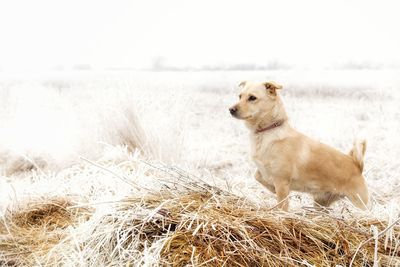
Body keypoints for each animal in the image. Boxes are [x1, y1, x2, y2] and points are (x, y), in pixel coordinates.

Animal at [228, 81, 368, 211]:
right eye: (239, 96)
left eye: (252, 98)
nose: (230, 109)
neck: (267, 132)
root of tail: (356, 164)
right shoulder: (264, 172)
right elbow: (257, 176)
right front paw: (271, 187)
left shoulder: (282, 181)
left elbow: (282, 204)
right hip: (321, 201)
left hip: (360, 203)